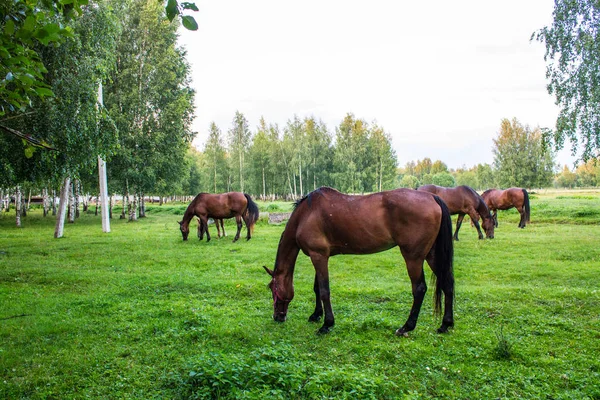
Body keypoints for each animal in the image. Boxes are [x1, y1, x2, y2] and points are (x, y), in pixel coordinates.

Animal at [262, 186, 454, 336]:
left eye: (272, 288)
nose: (277, 317)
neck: (306, 214)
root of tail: (432, 197)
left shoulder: (319, 256)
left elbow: (324, 291)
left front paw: (327, 324)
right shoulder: (320, 256)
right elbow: (317, 288)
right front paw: (316, 315)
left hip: (413, 257)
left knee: (419, 289)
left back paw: (406, 327)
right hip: (432, 255)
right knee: (447, 283)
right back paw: (445, 324)